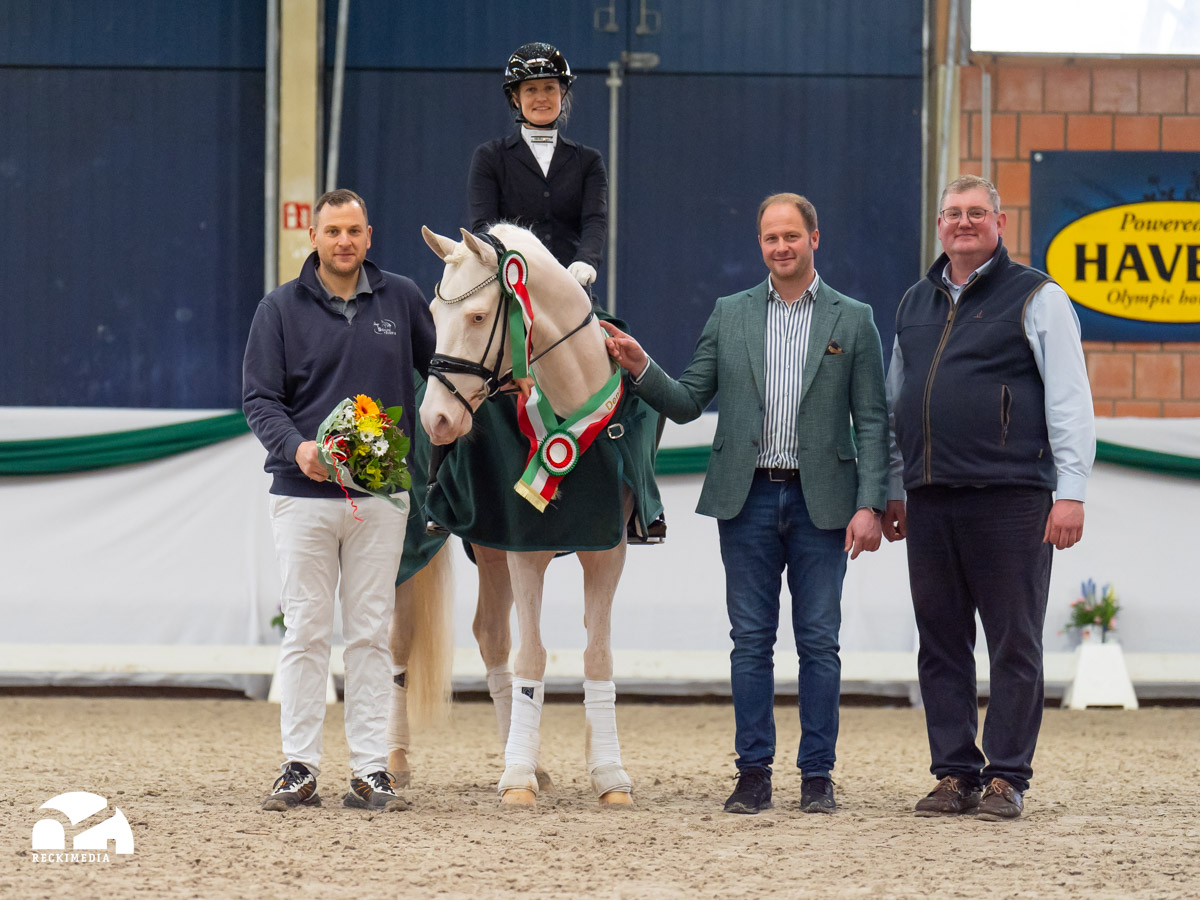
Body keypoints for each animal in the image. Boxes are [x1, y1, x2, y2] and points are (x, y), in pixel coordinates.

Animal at [417, 222, 638, 807]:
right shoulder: (524, 548)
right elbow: (531, 657)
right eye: (433, 314)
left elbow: (598, 654)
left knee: (495, 634)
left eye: (476, 317)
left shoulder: (607, 550)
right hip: (473, 545)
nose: (435, 419)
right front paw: (517, 781)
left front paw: (610, 776)